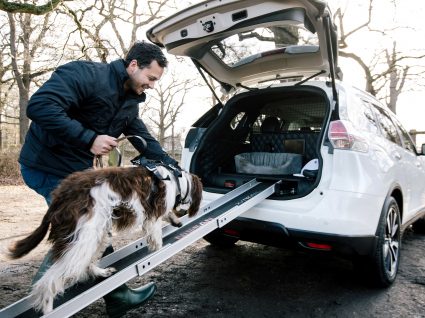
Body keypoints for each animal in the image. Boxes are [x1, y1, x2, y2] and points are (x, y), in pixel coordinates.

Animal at [7, 165, 202, 314]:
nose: (182, 216)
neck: (175, 179)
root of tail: (62, 194)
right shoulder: (152, 216)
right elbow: (157, 237)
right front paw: (160, 248)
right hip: (83, 237)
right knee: (49, 280)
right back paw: (48, 308)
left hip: (96, 233)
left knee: (85, 264)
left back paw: (101, 272)